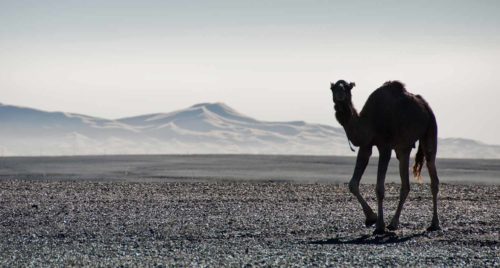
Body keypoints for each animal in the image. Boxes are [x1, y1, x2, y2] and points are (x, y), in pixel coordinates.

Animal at [330, 78, 440, 233]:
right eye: (333, 88)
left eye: (347, 87)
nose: (339, 92)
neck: (369, 121)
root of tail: (425, 106)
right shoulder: (366, 146)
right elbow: (353, 184)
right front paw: (371, 218)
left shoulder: (385, 147)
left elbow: (379, 188)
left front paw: (379, 225)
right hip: (403, 147)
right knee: (405, 184)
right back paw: (393, 223)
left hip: (430, 127)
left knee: (432, 171)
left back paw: (434, 223)